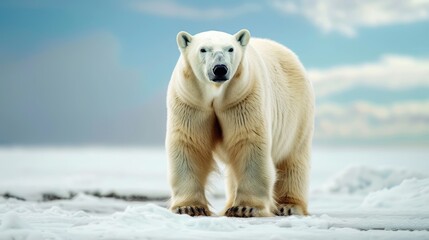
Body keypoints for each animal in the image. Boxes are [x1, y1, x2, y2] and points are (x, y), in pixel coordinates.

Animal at [166, 28, 312, 218]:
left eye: (230, 49)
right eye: (203, 49)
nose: (220, 69)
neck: (216, 94)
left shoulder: (243, 99)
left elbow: (248, 143)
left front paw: (245, 208)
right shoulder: (190, 102)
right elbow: (189, 144)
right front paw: (189, 207)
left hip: (298, 114)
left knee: (292, 158)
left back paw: (288, 206)